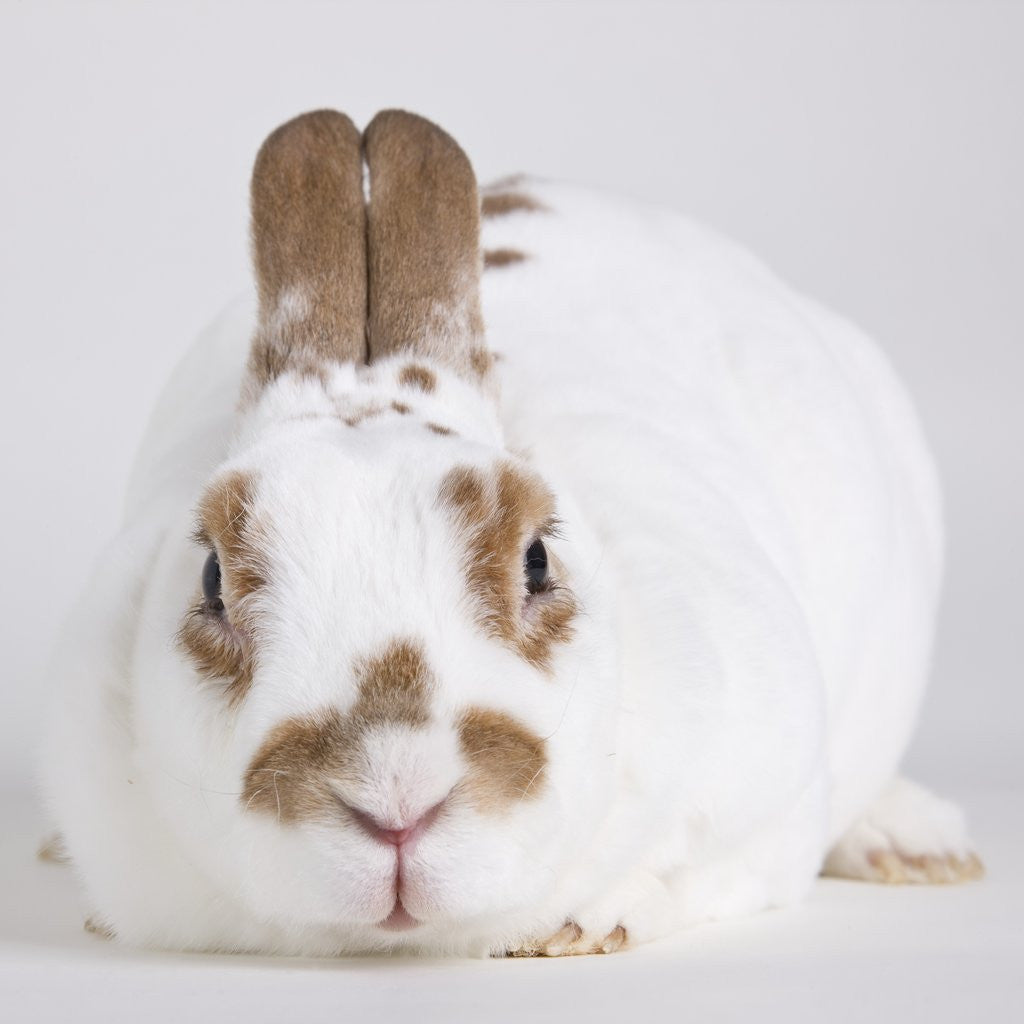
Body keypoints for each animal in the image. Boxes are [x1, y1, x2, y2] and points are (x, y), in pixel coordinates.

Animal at [37, 108, 983, 958]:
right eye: (212, 581)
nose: (397, 800)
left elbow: (703, 871)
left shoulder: (770, 804)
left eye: (536, 560)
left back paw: (919, 847)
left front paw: (590, 923)